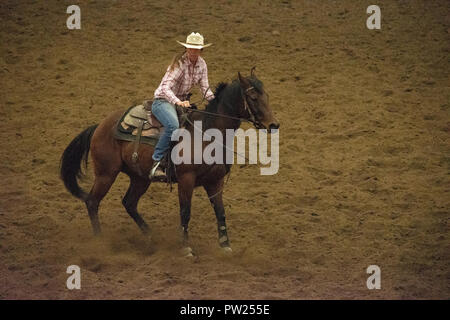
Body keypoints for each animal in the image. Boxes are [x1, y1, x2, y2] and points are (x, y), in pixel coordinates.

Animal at [59, 69, 278, 255]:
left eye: (267, 95)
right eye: (253, 97)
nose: (273, 125)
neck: (207, 134)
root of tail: (99, 126)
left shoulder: (215, 181)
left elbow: (220, 212)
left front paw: (225, 246)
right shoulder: (186, 179)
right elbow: (185, 212)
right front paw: (186, 248)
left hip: (140, 178)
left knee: (129, 203)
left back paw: (151, 237)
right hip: (106, 174)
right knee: (92, 201)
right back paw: (100, 241)